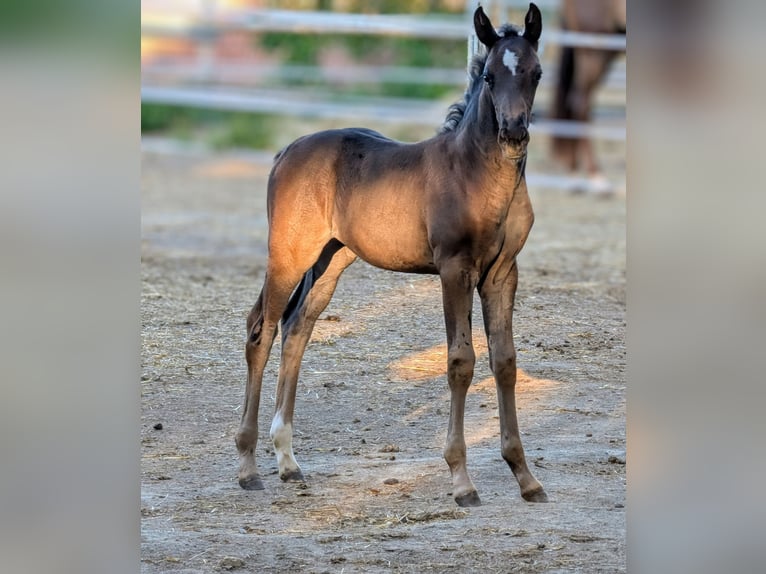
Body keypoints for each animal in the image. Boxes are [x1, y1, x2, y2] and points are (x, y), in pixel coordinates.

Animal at [235, 3, 548, 508]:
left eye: (536, 73)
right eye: (491, 76)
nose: (514, 132)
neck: (477, 175)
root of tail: (286, 151)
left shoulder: (502, 273)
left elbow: (505, 362)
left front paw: (525, 477)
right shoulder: (454, 270)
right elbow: (460, 362)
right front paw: (462, 482)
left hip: (331, 260)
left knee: (297, 328)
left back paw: (287, 461)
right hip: (289, 255)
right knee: (261, 332)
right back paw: (247, 467)